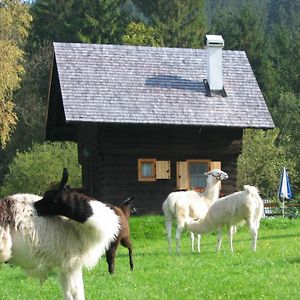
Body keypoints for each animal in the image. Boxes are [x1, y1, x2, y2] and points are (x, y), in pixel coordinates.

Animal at [0, 169, 119, 300]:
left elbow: (70, 294)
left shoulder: (66, 264)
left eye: (49, 197)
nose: (34, 207)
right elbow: (76, 294)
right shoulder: (71, 263)